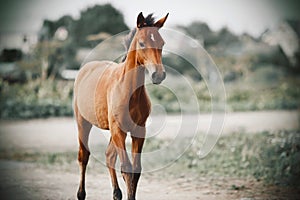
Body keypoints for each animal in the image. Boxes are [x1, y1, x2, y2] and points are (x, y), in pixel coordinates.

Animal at [73, 12, 169, 200]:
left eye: (162, 43)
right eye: (142, 43)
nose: (158, 75)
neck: (128, 89)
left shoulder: (138, 130)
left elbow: (136, 170)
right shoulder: (118, 129)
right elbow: (126, 168)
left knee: (109, 156)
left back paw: (116, 193)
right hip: (83, 123)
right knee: (83, 156)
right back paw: (81, 194)